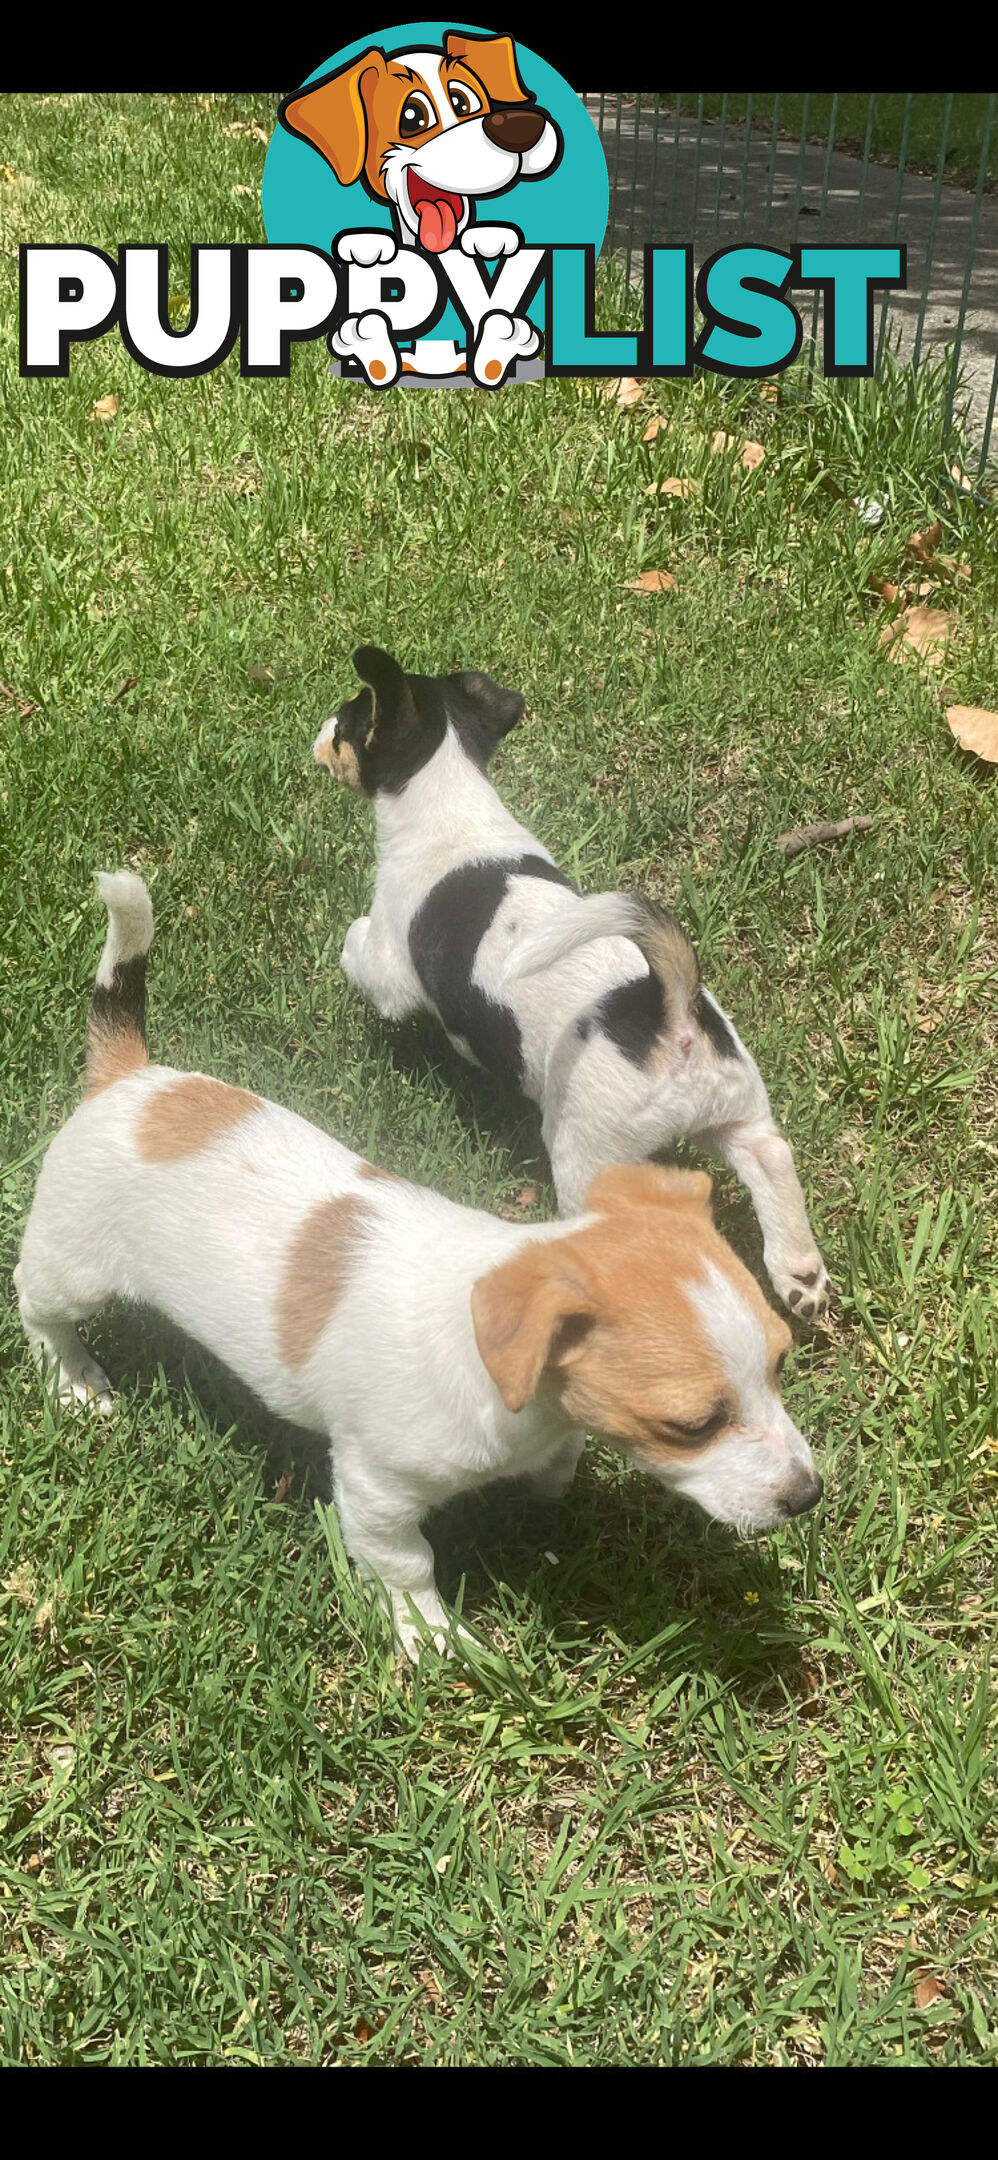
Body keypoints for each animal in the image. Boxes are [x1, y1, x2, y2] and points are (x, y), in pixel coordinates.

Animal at [15, 868, 820, 1658]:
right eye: (692, 1425)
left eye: (781, 1365)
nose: (809, 1495)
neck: (498, 1376)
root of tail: (127, 1078)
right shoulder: (378, 1490)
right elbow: (406, 1563)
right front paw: (429, 1634)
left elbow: (559, 1460)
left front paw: (547, 1489)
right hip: (73, 1266)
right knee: (37, 1307)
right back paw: (73, 1380)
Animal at [315, 639, 829, 1313]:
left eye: (348, 723)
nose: (319, 730)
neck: (451, 797)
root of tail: (669, 1012)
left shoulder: (390, 967)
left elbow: (358, 946)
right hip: (735, 1107)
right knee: (770, 1155)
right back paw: (800, 1276)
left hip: (589, 1153)